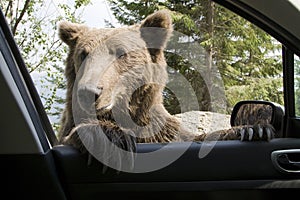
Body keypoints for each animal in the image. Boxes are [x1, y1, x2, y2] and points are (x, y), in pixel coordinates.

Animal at [56, 9, 276, 166]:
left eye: (120, 52)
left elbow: (196, 138)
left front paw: (252, 129)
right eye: (83, 54)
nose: (89, 91)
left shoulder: (164, 132)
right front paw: (110, 139)